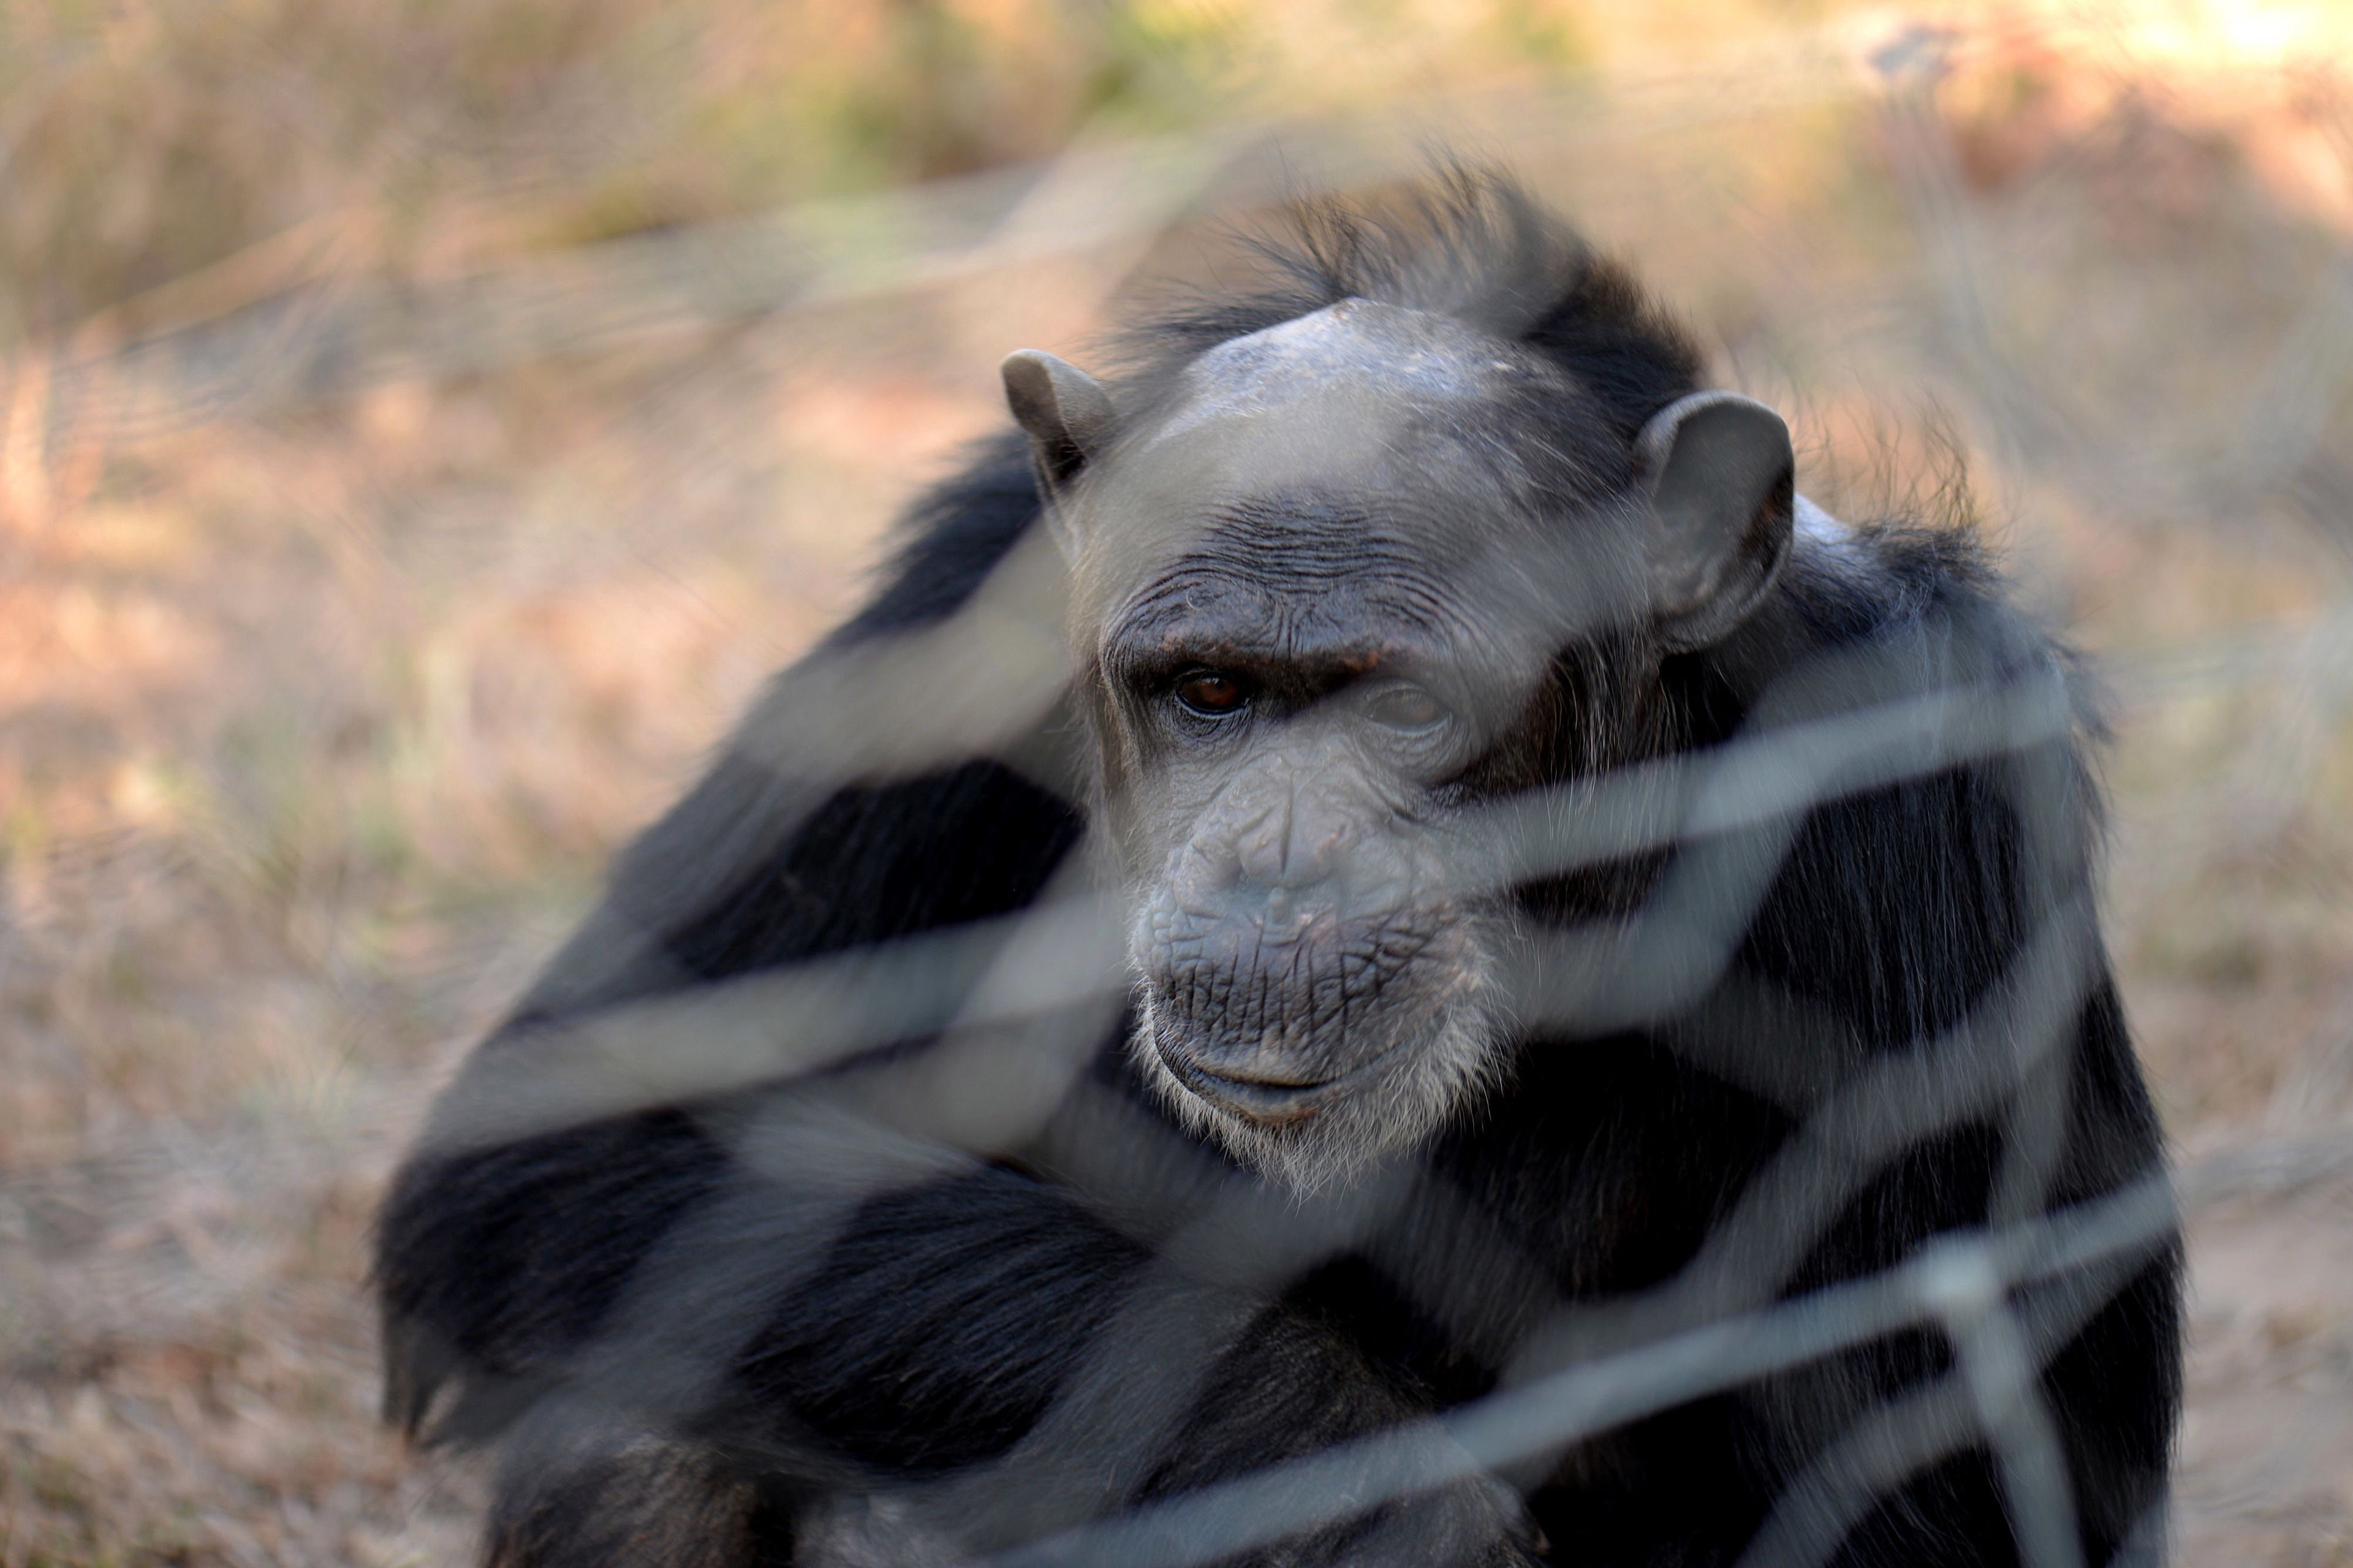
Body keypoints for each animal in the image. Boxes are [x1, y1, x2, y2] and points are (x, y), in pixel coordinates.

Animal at [376, 168, 2181, 1567]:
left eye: (1404, 705)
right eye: (1209, 692)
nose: (1276, 866)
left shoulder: (1926, 776)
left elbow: (1934, 1496)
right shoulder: (960, 612)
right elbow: (585, 1124)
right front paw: (1367, 1489)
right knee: (635, 1422)